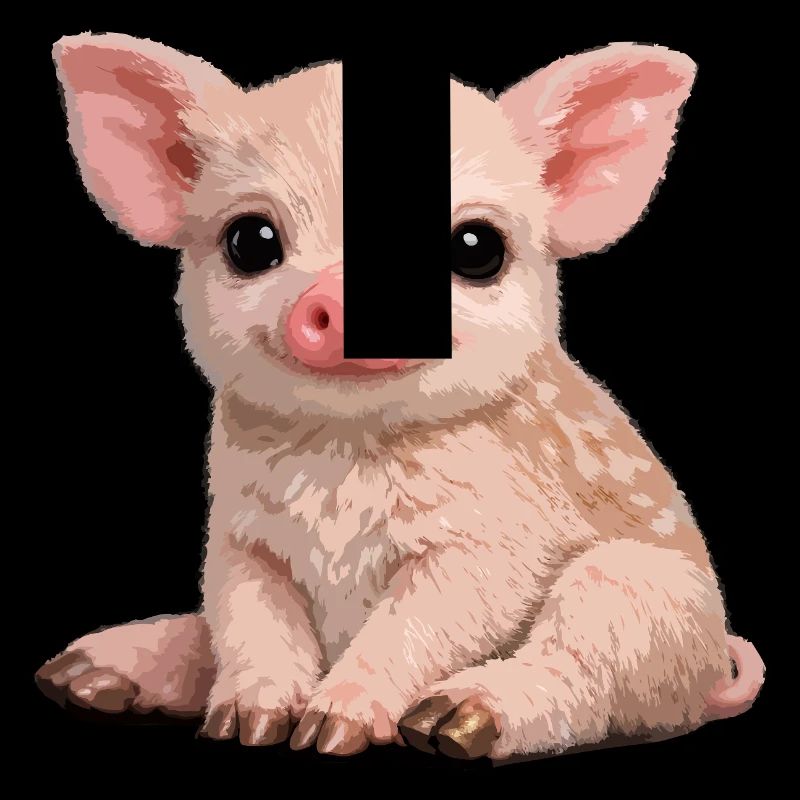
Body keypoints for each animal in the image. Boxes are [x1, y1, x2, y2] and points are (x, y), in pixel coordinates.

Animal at [36, 33, 764, 762]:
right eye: (250, 239)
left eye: (476, 247)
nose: (341, 294)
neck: (341, 452)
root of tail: (708, 675)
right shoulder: (241, 538)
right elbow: (249, 618)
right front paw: (249, 725)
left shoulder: (492, 538)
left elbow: (426, 619)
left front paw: (333, 731)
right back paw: (83, 674)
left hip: (646, 595)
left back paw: (453, 721)